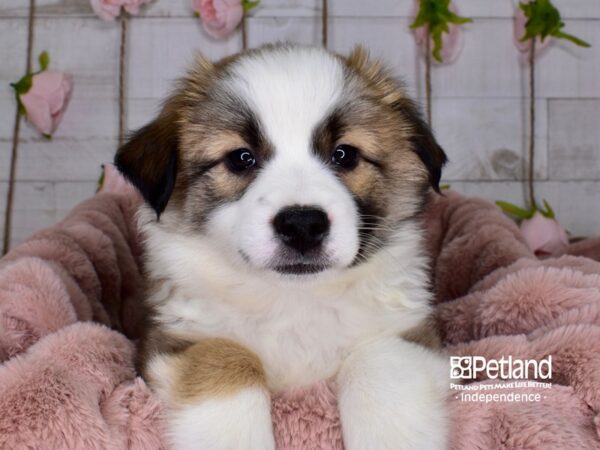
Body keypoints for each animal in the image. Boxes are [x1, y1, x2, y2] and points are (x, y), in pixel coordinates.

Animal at [115, 43, 448, 450]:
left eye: (345, 154)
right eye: (241, 158)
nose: (302, 224)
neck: (294, 299)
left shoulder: (407, 332)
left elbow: (378, 361)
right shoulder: (176, 337)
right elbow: (227, 354)